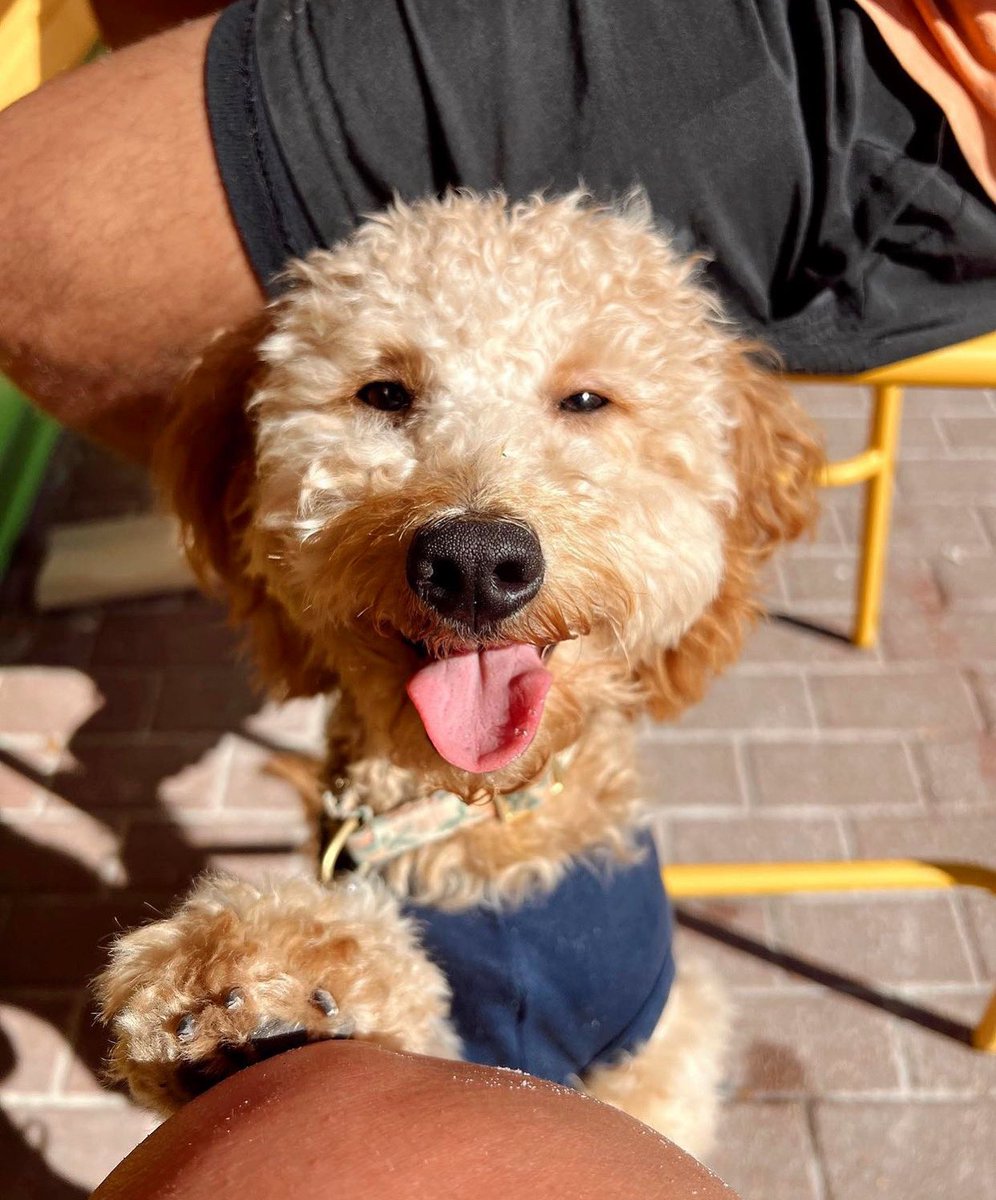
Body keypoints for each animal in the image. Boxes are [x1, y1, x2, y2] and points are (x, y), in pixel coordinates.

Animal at [95, 192, 825, 1156]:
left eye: (585, 400)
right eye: (383, 392)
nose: (475, 562)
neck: (486, 827)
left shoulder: (658, 1039)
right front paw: (263, 965)